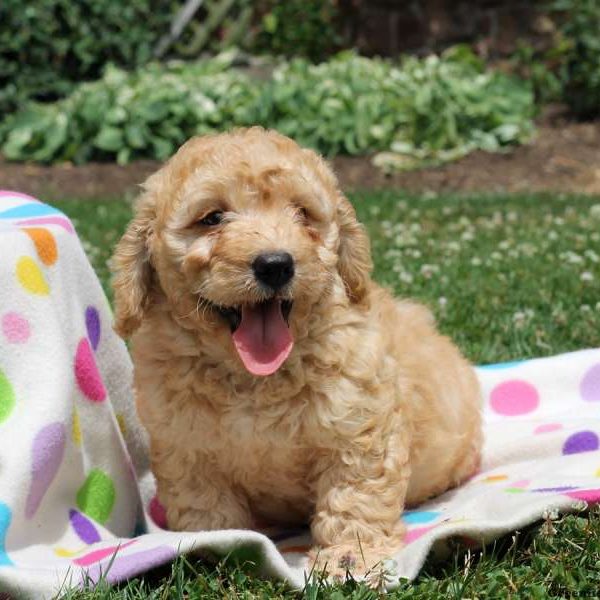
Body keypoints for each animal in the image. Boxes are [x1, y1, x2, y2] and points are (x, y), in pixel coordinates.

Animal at [110, 127, 480, 576]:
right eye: (212, 218)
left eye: (303, 214)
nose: (275, 264)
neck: (253, 376)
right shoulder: (186, 446)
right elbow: (206, 505)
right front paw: (217, 544)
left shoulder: (358, 427)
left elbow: (355, 495)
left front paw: (348, 557)